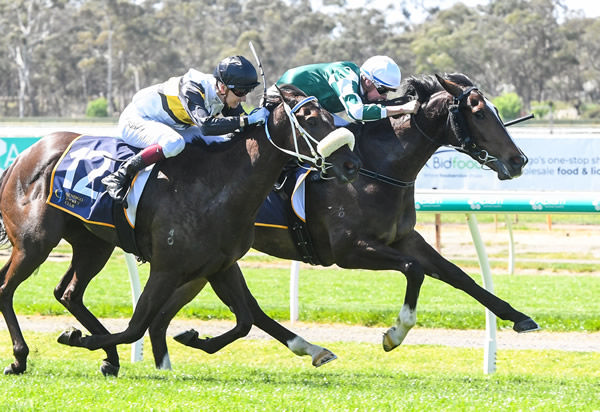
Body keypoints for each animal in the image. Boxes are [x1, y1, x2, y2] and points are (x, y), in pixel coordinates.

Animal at [0, 85, 360, 374]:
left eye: (331, 116)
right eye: (311, 119)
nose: (350, 164)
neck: (218, 186)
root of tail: (26, 154)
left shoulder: (218, 266)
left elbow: (245, 319)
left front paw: (191, 337)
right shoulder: (166, 267)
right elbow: (136, 326)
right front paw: (75, 339)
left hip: (92, 244)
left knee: (69, 293)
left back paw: (108, 357)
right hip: (35, 242)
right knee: (6, 288)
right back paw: (20, 357)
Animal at [144, 72, 540, 368]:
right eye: (479, 112)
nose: (519, 160)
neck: (377, 168)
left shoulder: (403, 238)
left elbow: (458, 275)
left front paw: (519, 316)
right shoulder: (349, 250)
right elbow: (414, 270)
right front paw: (394, 334)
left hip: (205, 258)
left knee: (187, 312)